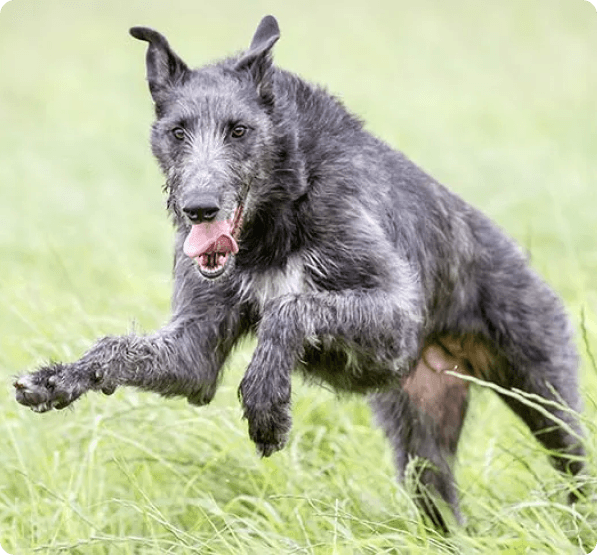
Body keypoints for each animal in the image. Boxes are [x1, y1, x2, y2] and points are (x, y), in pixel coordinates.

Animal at [12, 15, 584, 532]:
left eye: (239, 130)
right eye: (177, 131)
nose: (199, 208)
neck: (275, 219)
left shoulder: (398, 318)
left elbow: (291, 308)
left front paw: (266, 405)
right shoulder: (195, 348)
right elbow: (124, 351)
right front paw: (57, 378)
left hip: (545, 390)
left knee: (574, 463)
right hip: (421, 437)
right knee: (441, 501)